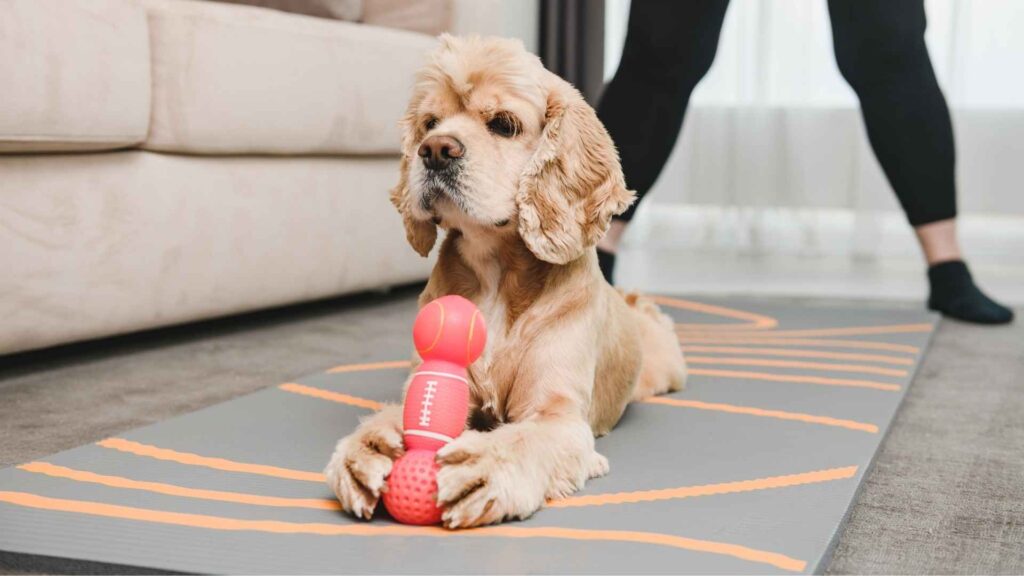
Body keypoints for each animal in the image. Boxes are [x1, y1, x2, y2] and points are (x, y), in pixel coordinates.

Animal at [323, 33, 684, 528]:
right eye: (430, 123)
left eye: (503, 124)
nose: (435, 150)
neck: (495, 273)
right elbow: (399, 415)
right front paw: (368, 448)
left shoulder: (557, 415)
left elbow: (524, 438)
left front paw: (484, 467)